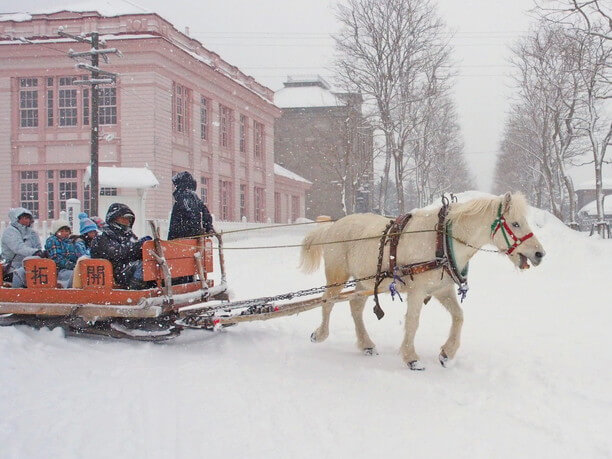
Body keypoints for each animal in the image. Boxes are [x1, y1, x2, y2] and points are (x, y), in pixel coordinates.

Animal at [300, 193, 544, 370]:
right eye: (515, 223)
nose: (540, 254)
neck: (442, 240)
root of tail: (332, 226)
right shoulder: (417, 290)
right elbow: (413, 322)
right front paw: (411, 358)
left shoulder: (442, 289)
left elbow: (459, 317)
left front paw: (447, 353)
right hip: (337, 274)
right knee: (327, 301)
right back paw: (320, 334)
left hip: (363, 280)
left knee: (355, 306)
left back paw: (366, 344)